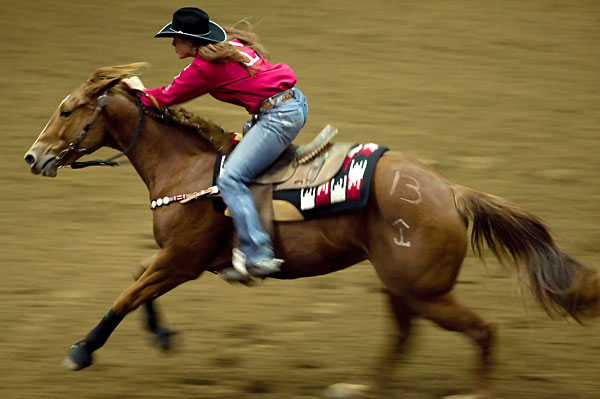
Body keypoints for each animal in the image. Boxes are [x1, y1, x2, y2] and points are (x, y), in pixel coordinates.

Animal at [23, 64, 600, 398]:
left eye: (67, 109)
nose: (32, 157)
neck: (190, 171)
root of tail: (451, 190)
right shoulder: (175, 260)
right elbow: (137, 280)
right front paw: (163, 336)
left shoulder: (182, 262)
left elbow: (126, 295)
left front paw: (81, 351)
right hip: (401, 285)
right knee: (404, 336)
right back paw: (359, 388)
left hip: (424, 289)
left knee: (483, 331)